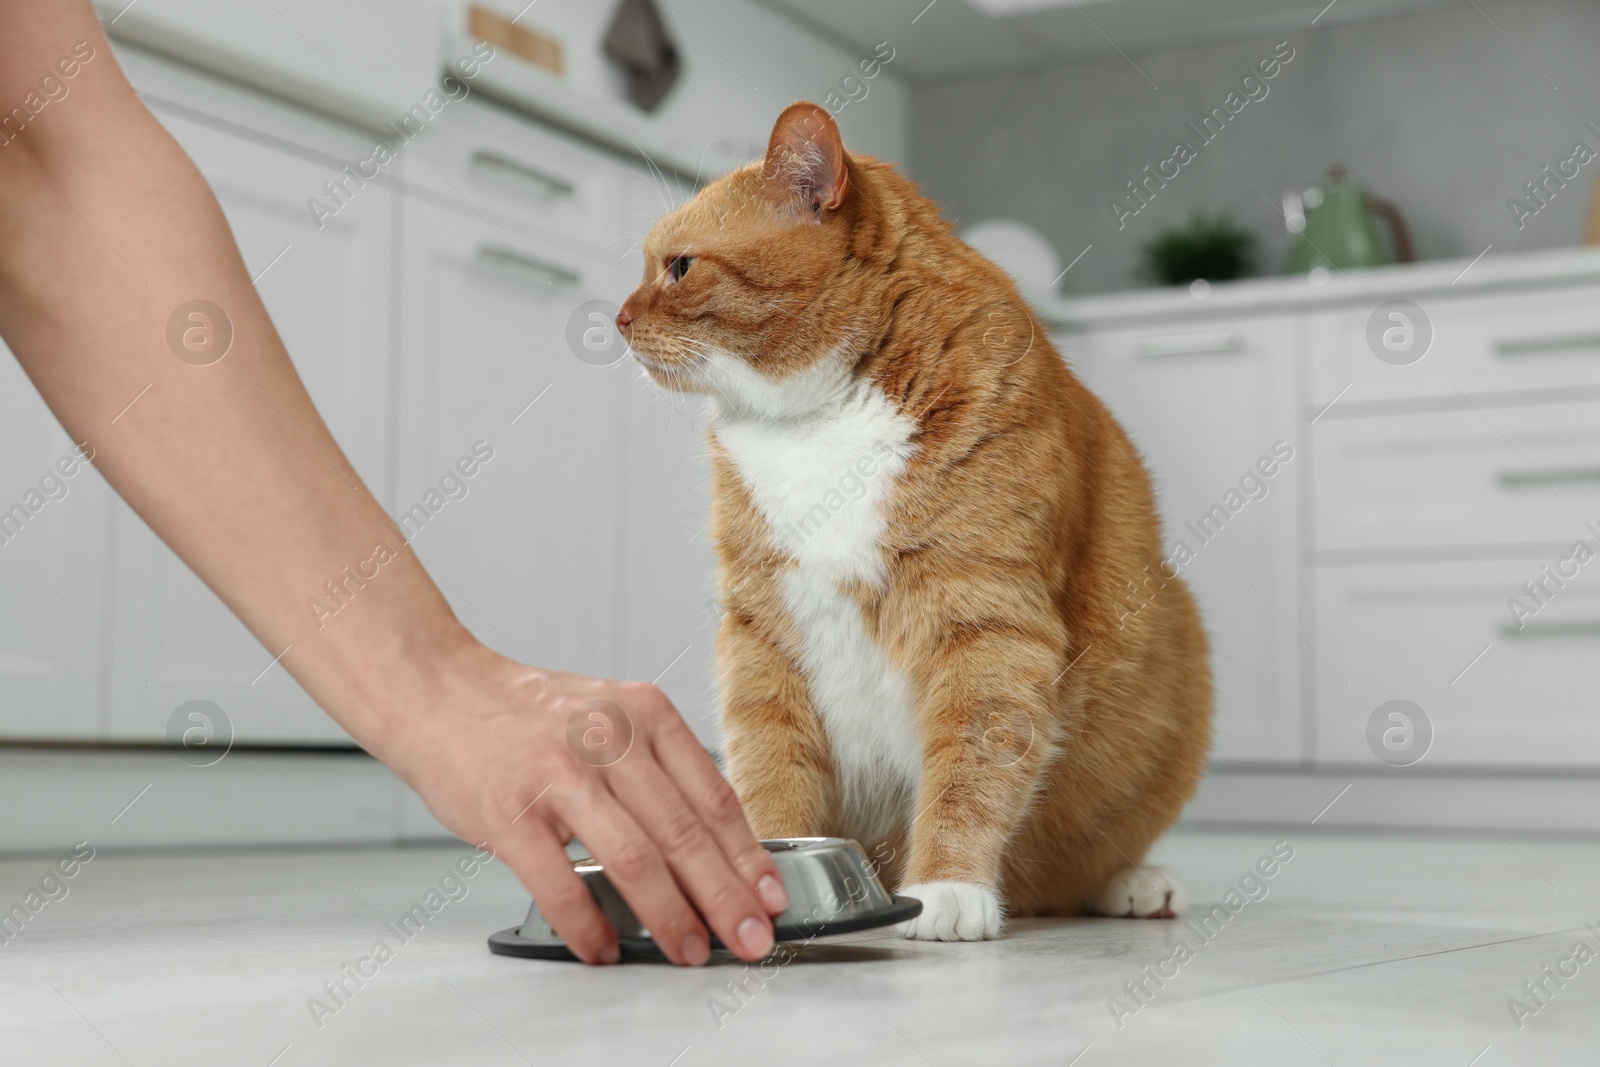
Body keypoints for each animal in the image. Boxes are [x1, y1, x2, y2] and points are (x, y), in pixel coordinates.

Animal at [617, 103, 1203, 940]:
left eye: (679, 268)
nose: (616, 318)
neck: (816, 423)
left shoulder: (986, 623)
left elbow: (972, 762)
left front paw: (947, 884)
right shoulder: (760, 631)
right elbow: (766, 763)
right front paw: (757, 875)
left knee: (1084, 860)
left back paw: (1137, 882)